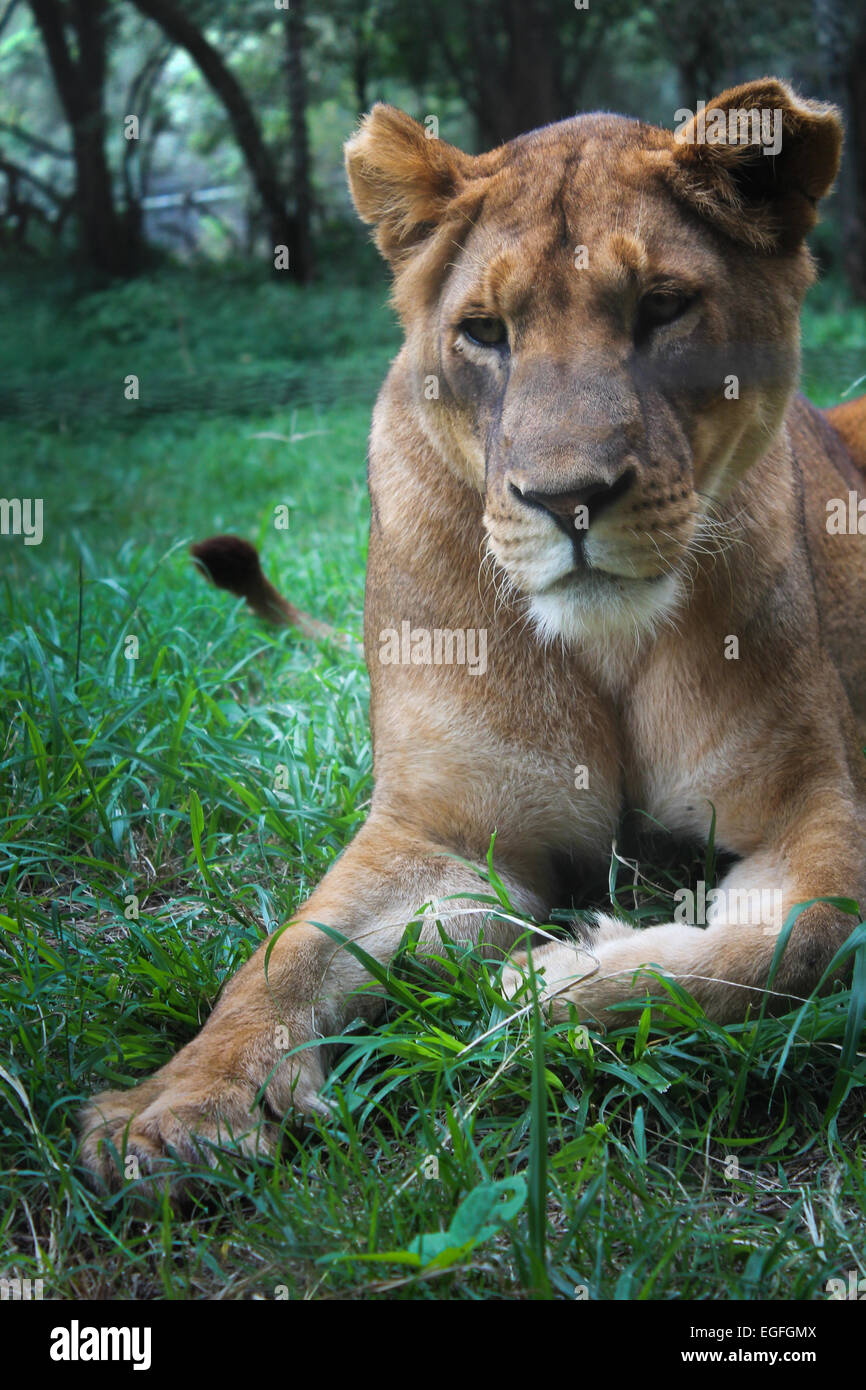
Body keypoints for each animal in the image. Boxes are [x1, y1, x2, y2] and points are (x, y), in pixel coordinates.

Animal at [81, 78, 866, 1186]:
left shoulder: (810, 810)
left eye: (662, 307)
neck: (604, 642)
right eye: (485, 332)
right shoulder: (445, 834)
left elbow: (796, 940)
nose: (568, 499)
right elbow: (286, 954)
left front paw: (548, 981)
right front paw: (179, 1107)